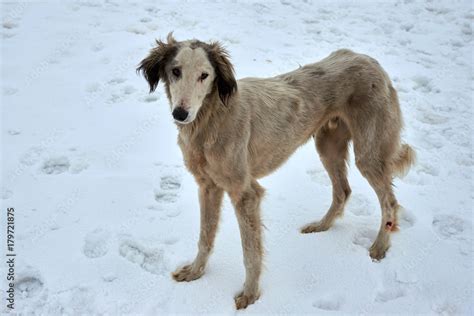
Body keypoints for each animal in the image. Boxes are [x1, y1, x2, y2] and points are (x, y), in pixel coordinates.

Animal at [137, 34, 414, 308]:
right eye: (175, 71)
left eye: (204, 75)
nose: (181, 113)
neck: (213, 117)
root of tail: (368, 59)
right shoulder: (208, 187)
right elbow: (205, 237)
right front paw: (195, 272)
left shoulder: (246, 194)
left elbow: (250, 252)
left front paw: (250, 295)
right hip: (328, 144)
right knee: (343, 191)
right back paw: (321, 226)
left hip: (368, 154)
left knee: (389, 202)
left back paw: (379, 247)